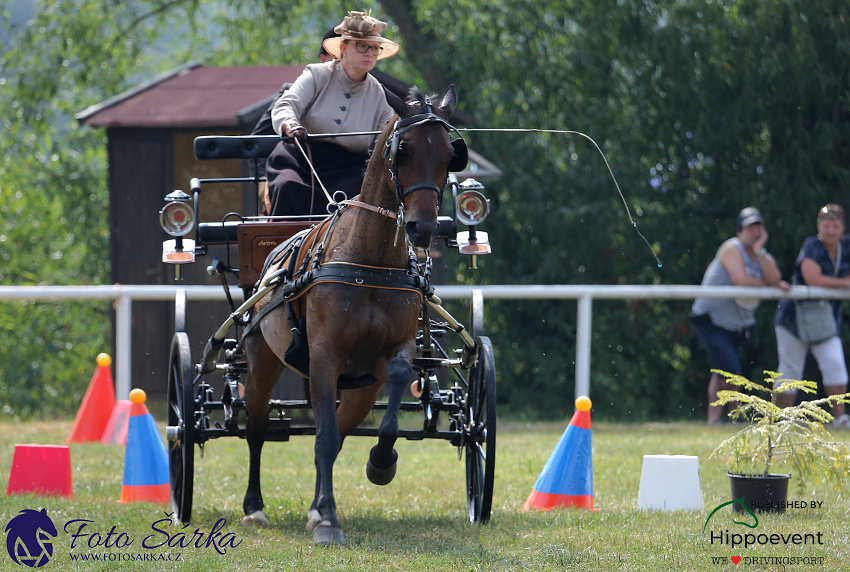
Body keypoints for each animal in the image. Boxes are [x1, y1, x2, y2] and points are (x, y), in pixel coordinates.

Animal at [238, 82, 464, 544]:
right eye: (404, 150)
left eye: (450, 155)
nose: (422, 229)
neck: (369, 262)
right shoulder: (325, 355)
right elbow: (322, 437)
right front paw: (328, 519)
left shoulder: (392, 353)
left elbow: (383, 405)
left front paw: (381, 463)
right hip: (263, 361)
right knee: (256, 427)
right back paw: (255, 507)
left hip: (359, 386)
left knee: (340, 428)